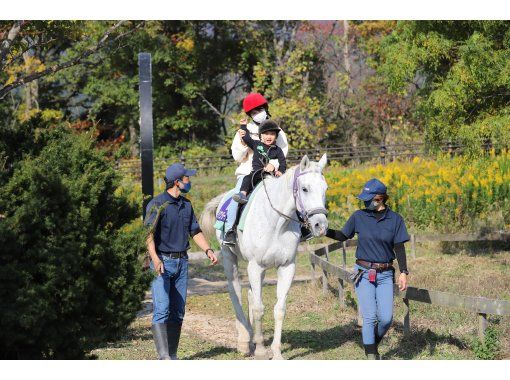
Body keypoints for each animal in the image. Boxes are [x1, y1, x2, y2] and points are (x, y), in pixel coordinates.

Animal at [201, 154, 328, 360]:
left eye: (325, 188)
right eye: (305, 188)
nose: (321, 226)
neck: (277, 222)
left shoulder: (287, 267)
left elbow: (279, 309)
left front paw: (276, 353)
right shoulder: (255, 266)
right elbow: (259, 308)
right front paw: (261, 351)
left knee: (251, 295)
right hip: (230, 259)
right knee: (236, 292)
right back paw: (244, 341)